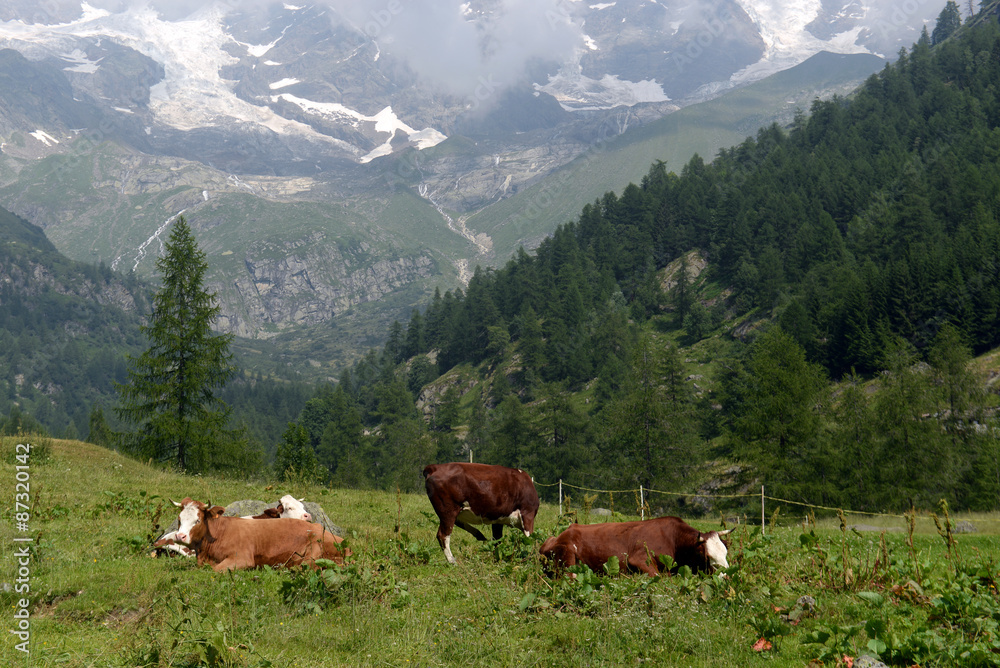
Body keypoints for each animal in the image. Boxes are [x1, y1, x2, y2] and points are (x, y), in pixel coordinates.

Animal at [540, 516, 736, 576]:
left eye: (725, 554)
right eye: (708, 556)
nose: (726, 575)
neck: (674, 540)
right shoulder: (639, 559)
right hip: (567, 558)